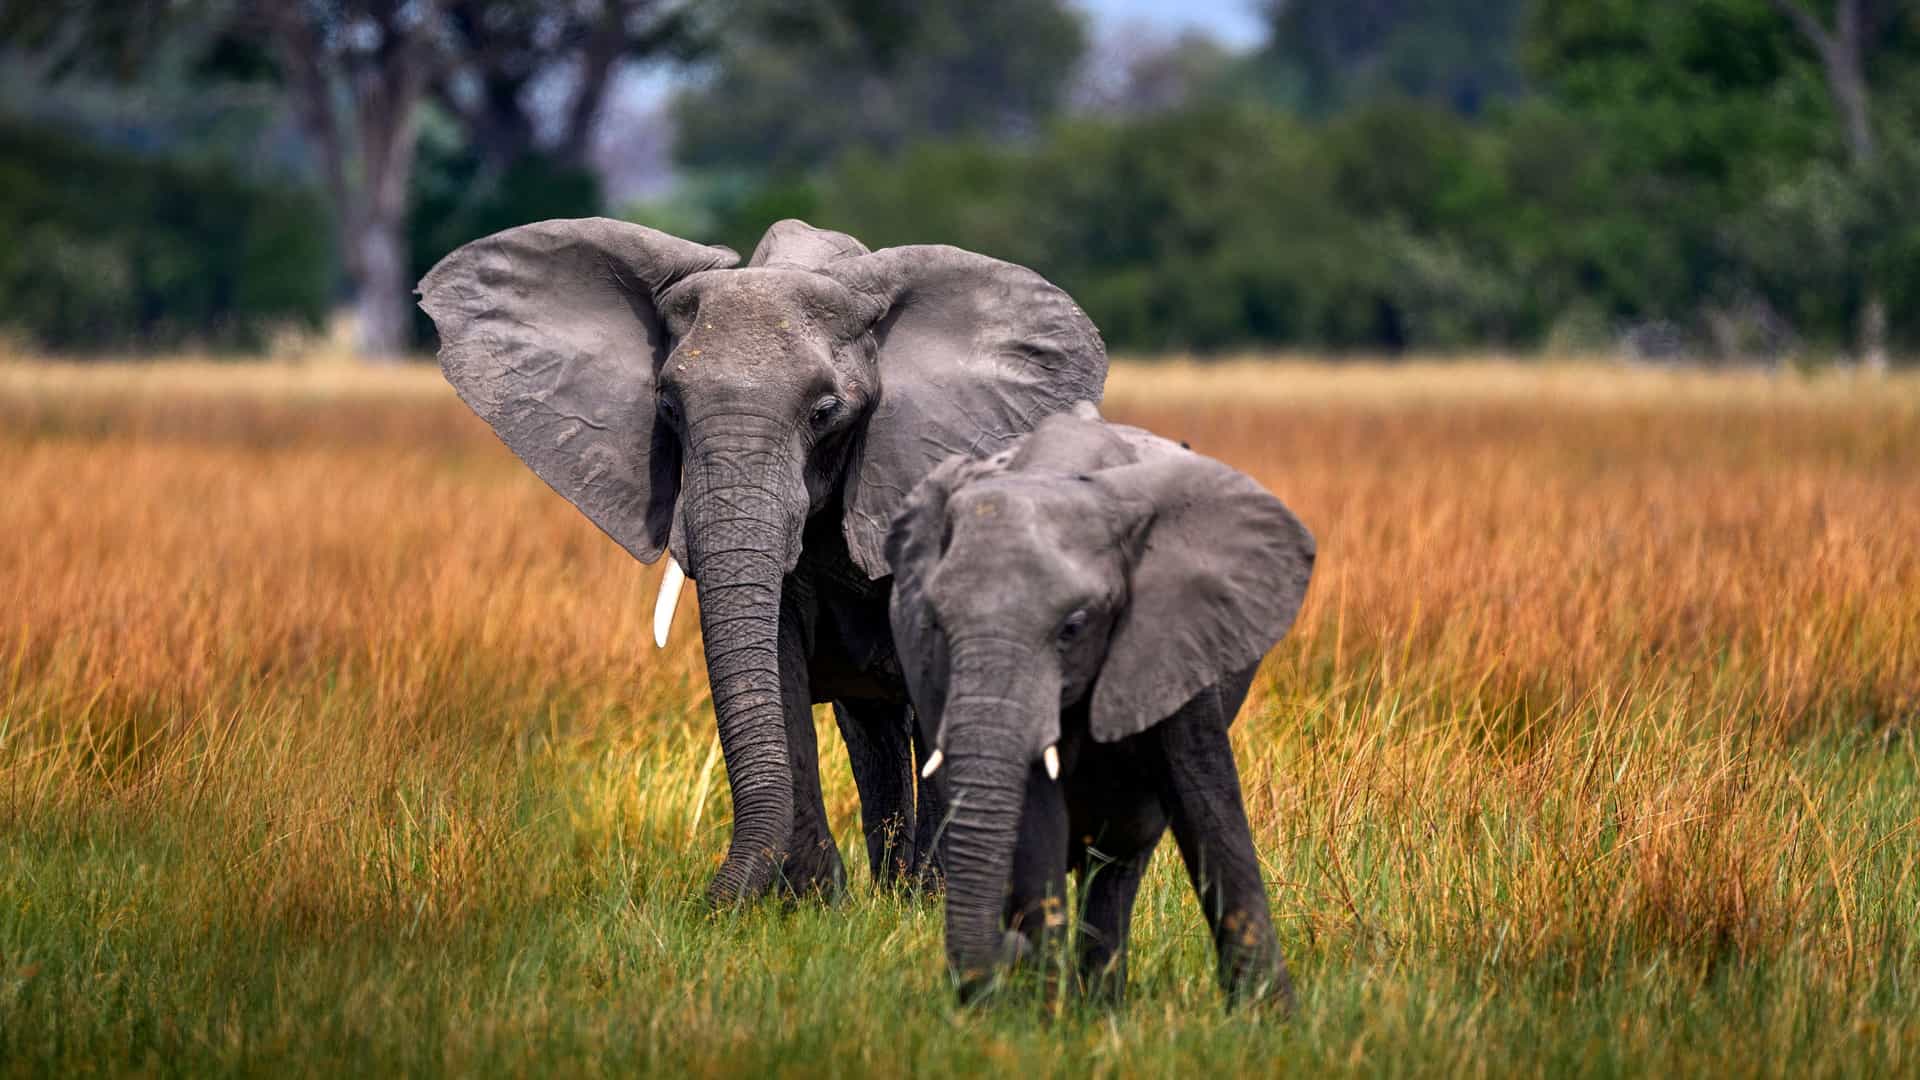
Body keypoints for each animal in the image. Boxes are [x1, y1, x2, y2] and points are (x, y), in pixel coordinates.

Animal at [418, 218, 1107, 905]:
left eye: (825, 413)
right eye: (667, 407)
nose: (702, 904)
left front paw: (929, 902)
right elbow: (778, 662)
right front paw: (810, 902)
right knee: (874, 733)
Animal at [885, 406, 1315, 1006]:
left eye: (1072, 627)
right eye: (936, 626)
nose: (1009, 949)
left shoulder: (1177, 632)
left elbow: (1207, 800)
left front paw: (1270, 1017)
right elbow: (1035, 814)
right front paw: (1041, 1011)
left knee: (1120, 853)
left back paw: (1101, 1004)